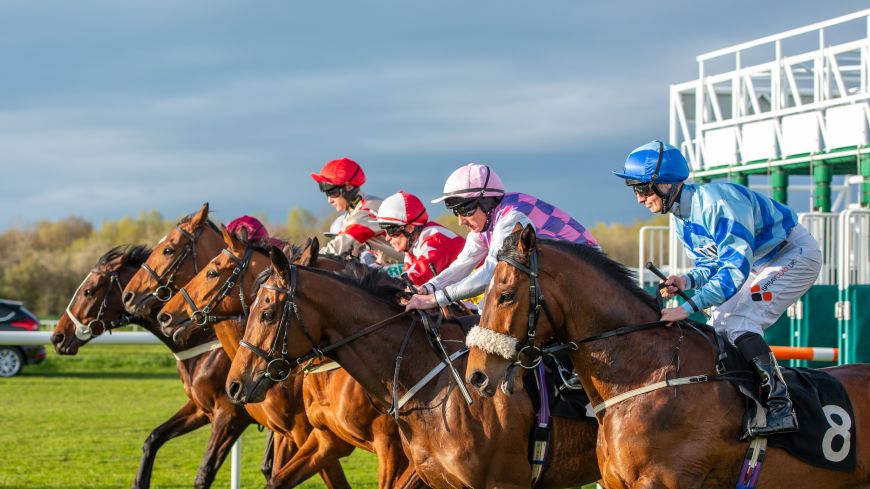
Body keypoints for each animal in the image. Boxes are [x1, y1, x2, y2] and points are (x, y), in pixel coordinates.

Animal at [49, 244, 258, 488]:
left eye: (89, 291)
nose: (57, 337)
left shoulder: (230, 415)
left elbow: (204, 472)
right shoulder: (201, 407)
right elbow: (153, 438)